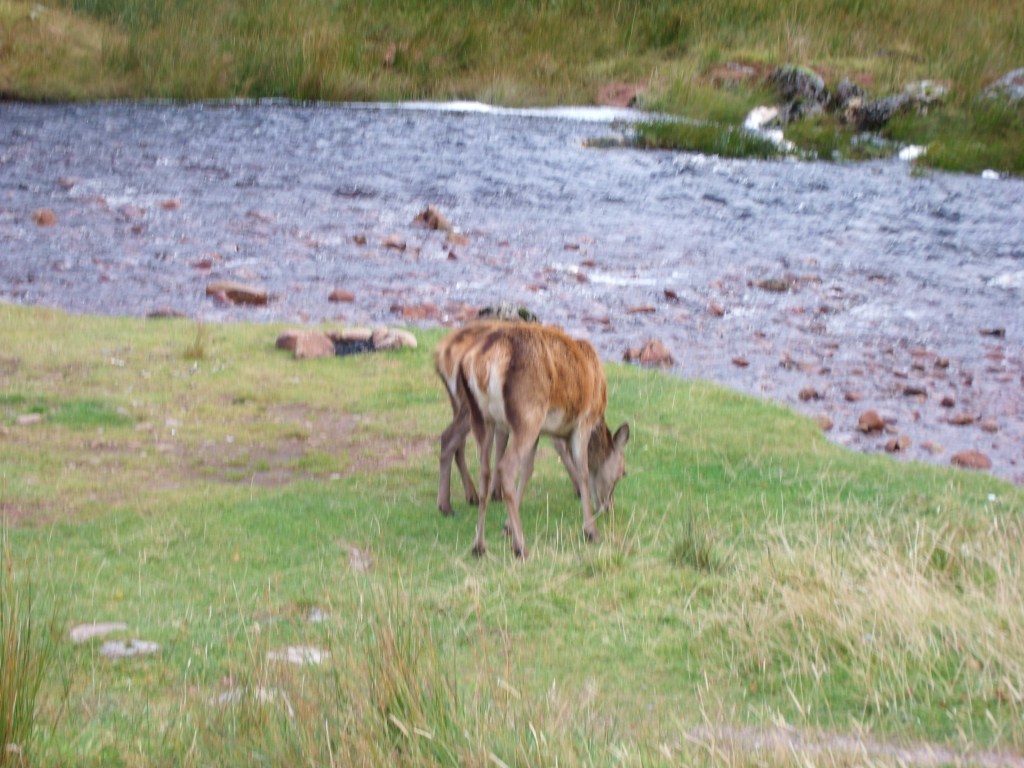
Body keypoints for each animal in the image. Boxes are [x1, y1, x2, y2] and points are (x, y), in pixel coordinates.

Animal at [434, 320, 578, 516]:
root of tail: (441, 355)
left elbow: (501, 443)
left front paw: (496, 492)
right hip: (471, 405)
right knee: (449, 437)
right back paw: (447, 504)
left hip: (458, 402)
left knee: (457, 442)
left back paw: (469, 495)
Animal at [457, 323, 630, 558]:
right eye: (622, 472)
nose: (608, 507)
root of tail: (484, 363)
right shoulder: (583, 422)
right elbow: (583, 473)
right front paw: (590, 531)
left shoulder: (540, 432)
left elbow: (528, 470)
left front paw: (507, 527)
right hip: (527, 413)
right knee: (506, 468)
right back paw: (521, 547)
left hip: (482, 418)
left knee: (485, 472)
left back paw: (479, 545)